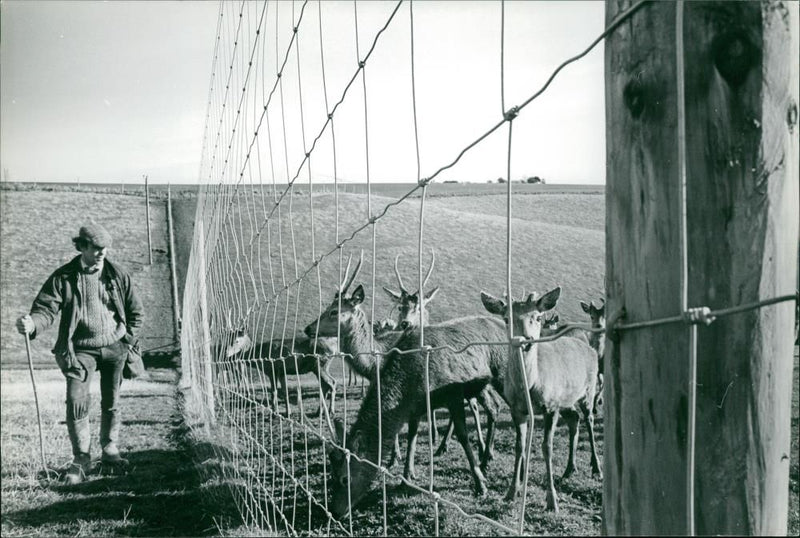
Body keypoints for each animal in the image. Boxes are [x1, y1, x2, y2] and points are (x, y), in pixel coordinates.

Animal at [482, 284, 600, 510]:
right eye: (507, 318)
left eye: (537, 317)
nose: (525, 340)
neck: (530, 386)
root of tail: (591, 348)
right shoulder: (516, 408)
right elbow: (519, 446)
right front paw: (512, 492)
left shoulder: (551, 406)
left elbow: (547, 448)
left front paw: (552, 501)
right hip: (567, 400)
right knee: (574, 419)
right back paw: (569, 469)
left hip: (589, 390)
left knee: (589, 419)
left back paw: (596, 468)